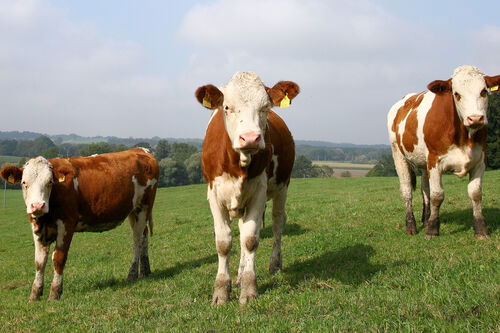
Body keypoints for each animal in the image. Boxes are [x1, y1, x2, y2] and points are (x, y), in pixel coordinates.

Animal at [0, 147, 159, 300]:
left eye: (50, 182)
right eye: (24, 183)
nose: (38, 205)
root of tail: (141, 150)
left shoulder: (66, 224)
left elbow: (58, 258)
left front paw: (55, 293)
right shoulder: (37, 228)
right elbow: (39, 262)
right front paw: (34, 295)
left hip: (144, 206)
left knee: (137, 241)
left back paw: (132, 274)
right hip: (134, 211)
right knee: (144, 235)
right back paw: (145, 271)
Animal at [193, 72, 298, 304]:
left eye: (266, 107)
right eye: (227, 107)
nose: (250, 138)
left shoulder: (259, 191)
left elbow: (250, 240)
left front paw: (249, 289)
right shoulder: (214, 194)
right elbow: (224, 242)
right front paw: (222, 289)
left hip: (283, 186)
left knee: (278, 222)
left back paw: (274, 264)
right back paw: (240, 275)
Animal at [388, 65, 498, 237]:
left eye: (483, 92)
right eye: (456, 94)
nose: (475, 118)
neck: (463, 136)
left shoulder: (481, 160)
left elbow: (475, 194)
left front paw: (481, 229)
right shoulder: (435, 161)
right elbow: (437, 195)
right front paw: (432, 229)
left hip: (423, 162)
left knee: (424, 189)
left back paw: (425, 219)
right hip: (398, 155)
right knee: (407, 190)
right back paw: (411, 226)